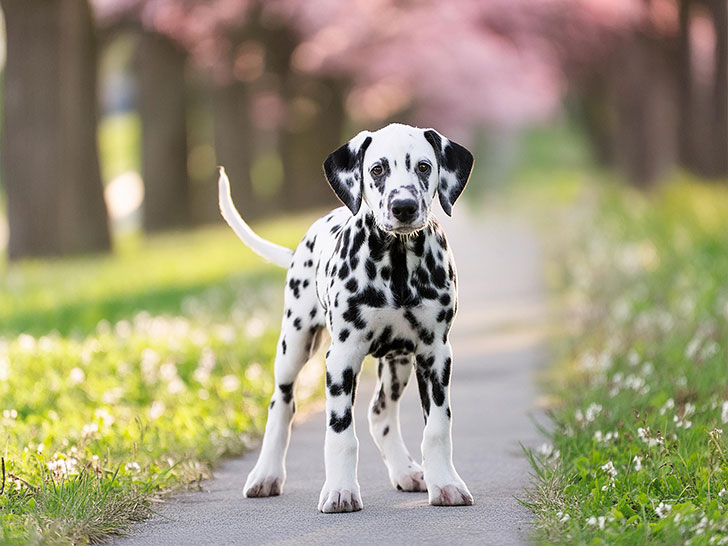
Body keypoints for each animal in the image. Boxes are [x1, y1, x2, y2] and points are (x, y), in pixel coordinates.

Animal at [218, 122, 472, 510]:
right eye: (377, 169)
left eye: (424, 167)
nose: (403, 207)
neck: (397, 265)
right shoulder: (341, 357)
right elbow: (340, 434)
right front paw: (340, 491)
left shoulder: (435, 355)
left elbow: (438, 427)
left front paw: (445, 483)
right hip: (294, 345)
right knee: (281, 405)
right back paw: (266, 475)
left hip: (399, 362)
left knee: (380, 412)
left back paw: (407, 471)